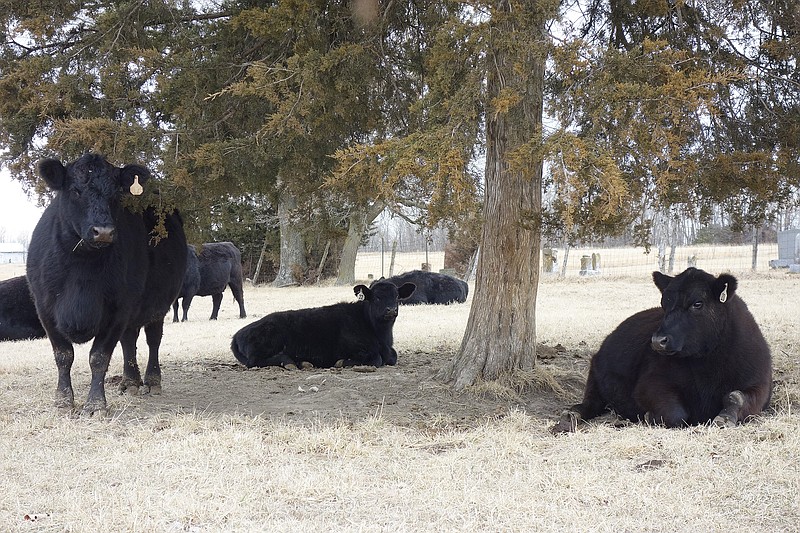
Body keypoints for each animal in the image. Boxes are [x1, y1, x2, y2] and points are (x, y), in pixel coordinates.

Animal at [25, 154, 189, 416]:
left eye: (116, 194)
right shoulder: (45, 308)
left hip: (158, 305)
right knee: (129, 341)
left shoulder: (117, 310)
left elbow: (99, 357)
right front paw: (63, 400)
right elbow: (63, 355)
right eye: (75, 191)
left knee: (153, 339)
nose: (103, 231)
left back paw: (152, 381)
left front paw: (95, 404)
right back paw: (130, 381)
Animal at [231, 278, 416, 370]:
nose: (391, 310)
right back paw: (290, 362)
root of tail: (238, 333)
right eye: (376, 297)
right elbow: (377, 359)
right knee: (255, 361)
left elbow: (392, 356)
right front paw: (342, 363)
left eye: (396, 296)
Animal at [552, 266, 772, 432]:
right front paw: (649, 416)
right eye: (663, 303)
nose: (658, 340)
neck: (707, 367)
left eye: (697, 303)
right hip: (595, 378)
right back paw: (572, 415)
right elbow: (676, 414)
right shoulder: (650, 383)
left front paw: (724, 418)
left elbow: (736, 396)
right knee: (590, 404)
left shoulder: (760, 384)